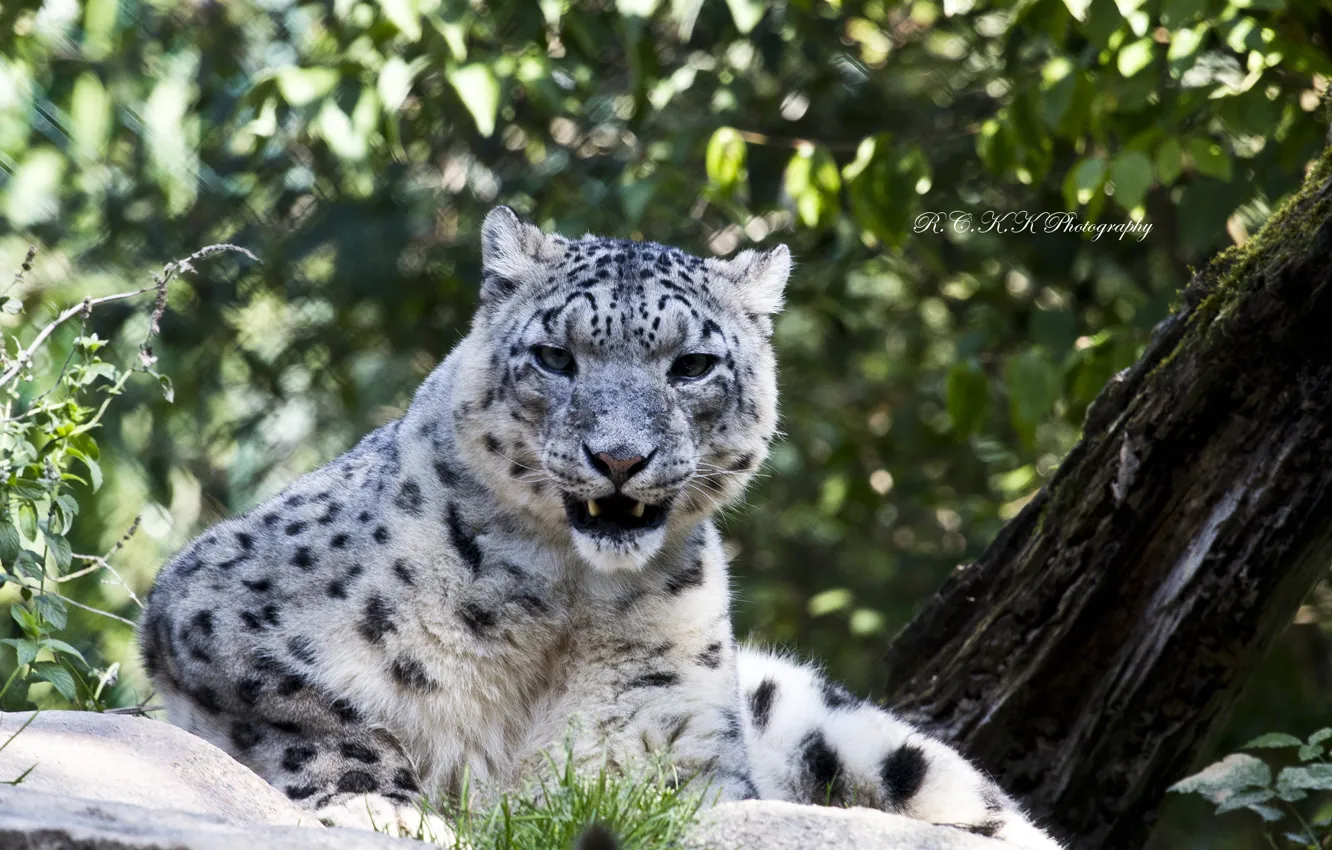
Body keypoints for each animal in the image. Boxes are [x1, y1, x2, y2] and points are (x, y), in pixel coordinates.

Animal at [138, 207, 1062, 848]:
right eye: (555, 357)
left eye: (692, 366)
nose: (619, 457)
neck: (564, 603)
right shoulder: (210, 606)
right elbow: (315, 711)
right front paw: (388, 805)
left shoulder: (689, 750)